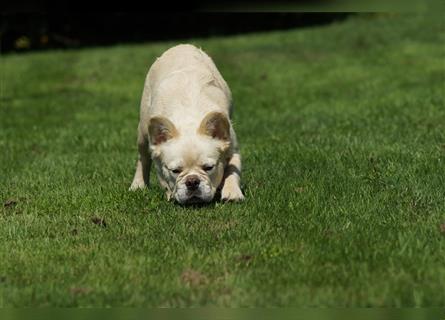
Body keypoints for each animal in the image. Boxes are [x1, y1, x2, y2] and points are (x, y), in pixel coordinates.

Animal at [130, 43, 245, 204]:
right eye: (175, 171)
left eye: (208, 168)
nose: (192, 181)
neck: (189, 123)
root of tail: (181, 46)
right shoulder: (158, 159)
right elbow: (162, 177)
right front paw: (170, 193)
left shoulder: (233, 149)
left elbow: (232, 171)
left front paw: (232, 192)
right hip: (143, 131)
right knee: (143, 158)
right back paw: (138, 185)